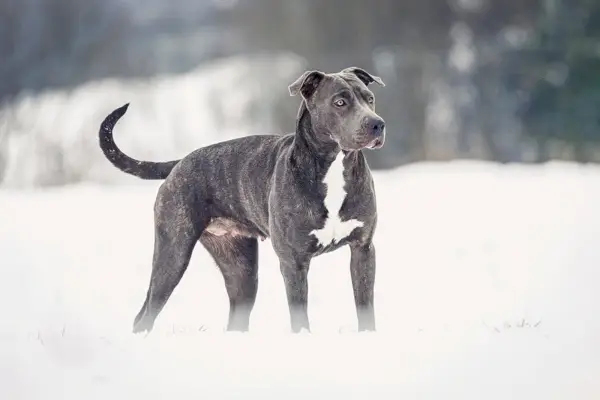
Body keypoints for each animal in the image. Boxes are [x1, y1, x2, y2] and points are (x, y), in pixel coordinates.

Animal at [98, 66, 386, 334]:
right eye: (340, 102)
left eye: (370, 98)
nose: (377, 124)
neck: (334, 165)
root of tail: (178, 163)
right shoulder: (293, 260)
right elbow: (299, 314)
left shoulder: (363, 249)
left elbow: (365, 306)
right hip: (173, 253)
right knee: (146, 313)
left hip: (241, 270)